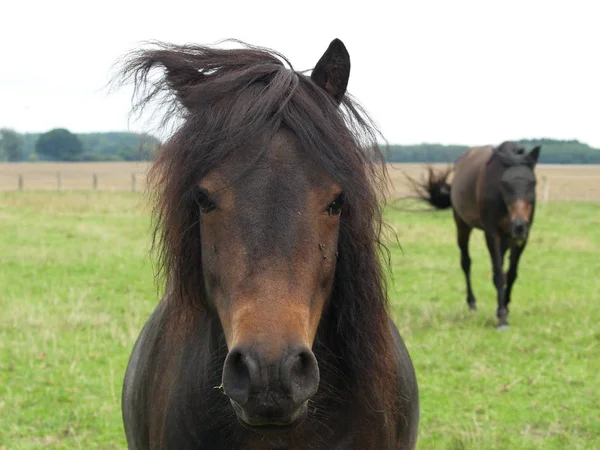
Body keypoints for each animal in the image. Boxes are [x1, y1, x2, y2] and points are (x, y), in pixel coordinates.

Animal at [410, 142, 540, 328]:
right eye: (504, 184)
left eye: (533, 182)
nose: (519, 225)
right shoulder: (492, 234)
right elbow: (498, 272)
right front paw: (502, 316)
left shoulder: (522, 238)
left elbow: (511, 273)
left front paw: (506, 306)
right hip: (462, 226)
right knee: (466, 262)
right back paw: (471, 303)